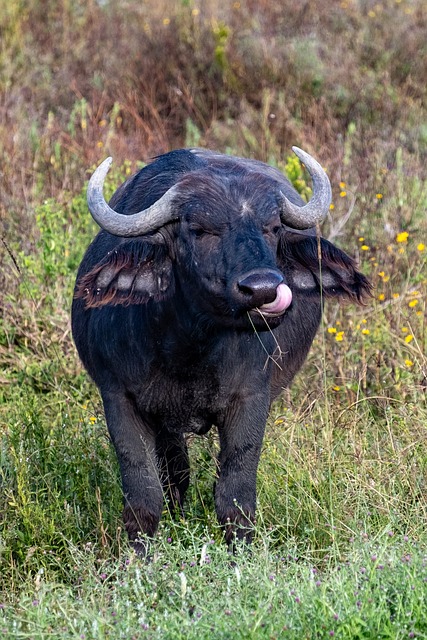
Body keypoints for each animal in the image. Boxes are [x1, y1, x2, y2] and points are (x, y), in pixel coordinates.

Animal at [72, 147, 371, 553]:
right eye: (200, 229)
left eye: (272, 227)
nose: (263, 288)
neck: (189, 350)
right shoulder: (120, 399)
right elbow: (144, 496)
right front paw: (138, 558)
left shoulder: (251, 399)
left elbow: (235, 495)